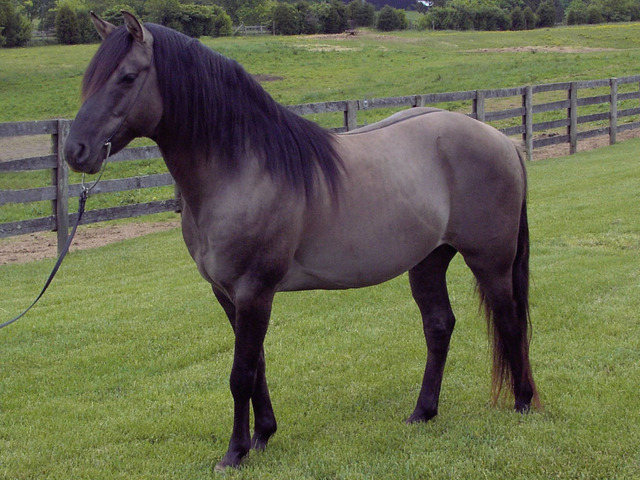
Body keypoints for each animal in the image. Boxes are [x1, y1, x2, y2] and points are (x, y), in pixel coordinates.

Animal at [64, 12, 540, 470]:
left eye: (127, 77)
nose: (75, 151)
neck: (242, 168)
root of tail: (502, 141)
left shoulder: (255, 291)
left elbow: (240, 373)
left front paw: (234, 453)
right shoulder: (228, 295)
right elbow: (256, 366)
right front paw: (262, 435)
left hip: (491, 261)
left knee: (511, 321)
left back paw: (522, 403)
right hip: (428, 261)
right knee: (439, 326)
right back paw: (422, 412)